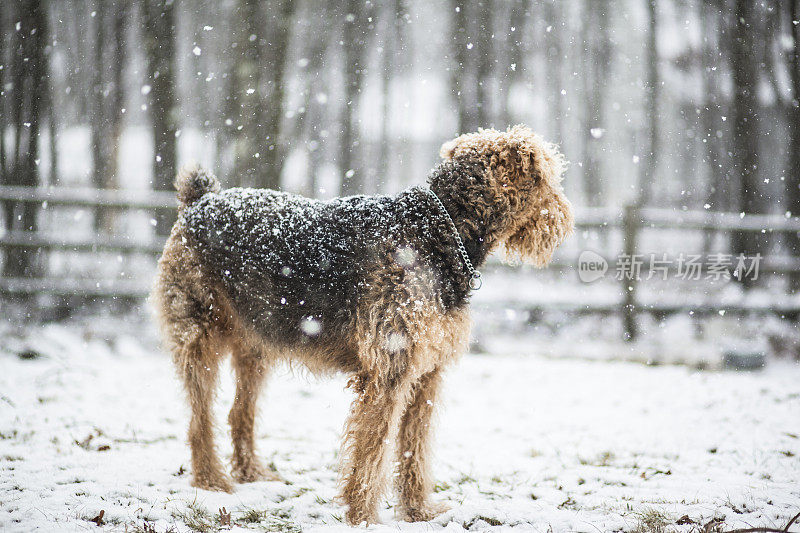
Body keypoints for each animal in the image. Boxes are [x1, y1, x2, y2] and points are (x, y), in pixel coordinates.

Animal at [153, 125, 572, 524]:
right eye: (550, 176)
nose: (565, 220)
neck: (439, 231)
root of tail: (200, 200)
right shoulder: (388, 372)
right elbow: (372, 454)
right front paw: (363, 517)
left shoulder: (426, 375)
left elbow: (414, 450)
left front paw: (418, 511)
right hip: (198, 337)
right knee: (200, 420)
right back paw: (212, 480)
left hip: (255, 346)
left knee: (239, 413)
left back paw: (253, 473)